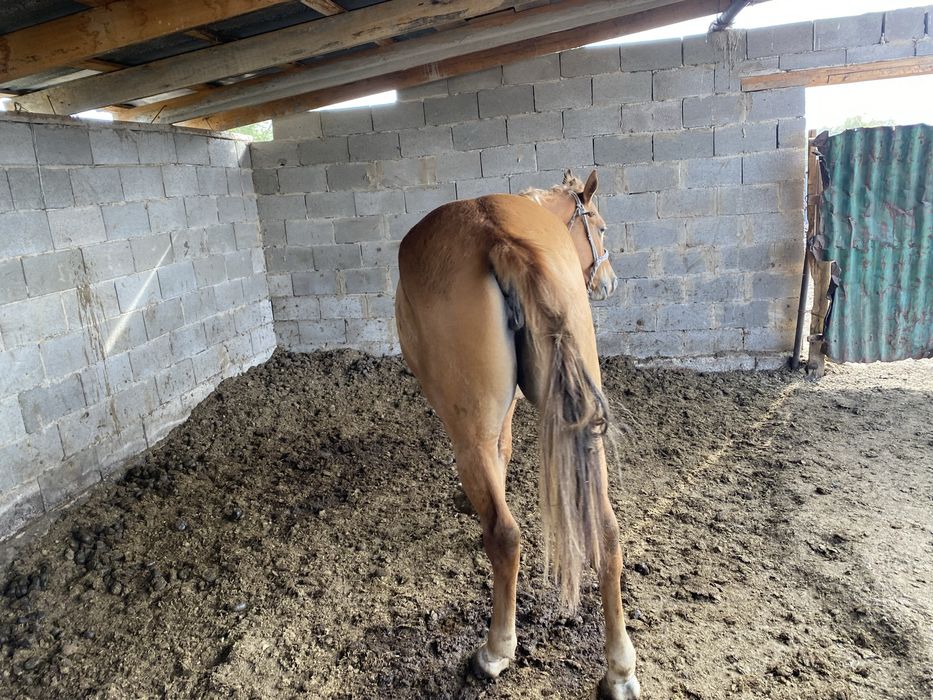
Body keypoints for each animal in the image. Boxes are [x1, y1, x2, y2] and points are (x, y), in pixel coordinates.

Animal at [394, 170, 640, 699]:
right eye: (601, 228)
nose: (609, 282)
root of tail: (498, 236)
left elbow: (499, 457)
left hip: (470, 434)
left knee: (505, 536)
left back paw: (495, 650)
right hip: (585, 428)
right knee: (607, 530)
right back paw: (619, 670)